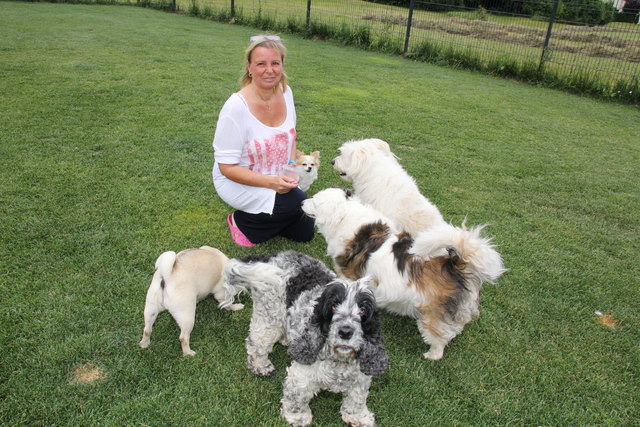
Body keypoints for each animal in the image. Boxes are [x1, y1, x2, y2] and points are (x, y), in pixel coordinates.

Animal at [222, 251, 388, 427]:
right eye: (333, 306)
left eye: (362, 310)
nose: (345, 331)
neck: (338, 361)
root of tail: (274, 255)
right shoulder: (301, 376)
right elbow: (296, 398)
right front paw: (298, 418)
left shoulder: (360, 380)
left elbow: (356, 400)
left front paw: (359, 418)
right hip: (269, 316)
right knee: (257, 343)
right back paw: (261, 366)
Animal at [302, 191, 508, 362]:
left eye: (315, 200)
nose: (302, 201)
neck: (345, 215)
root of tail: (454, 263)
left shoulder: (349, 274)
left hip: (431, 315)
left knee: (440, 338)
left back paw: (432, 354)